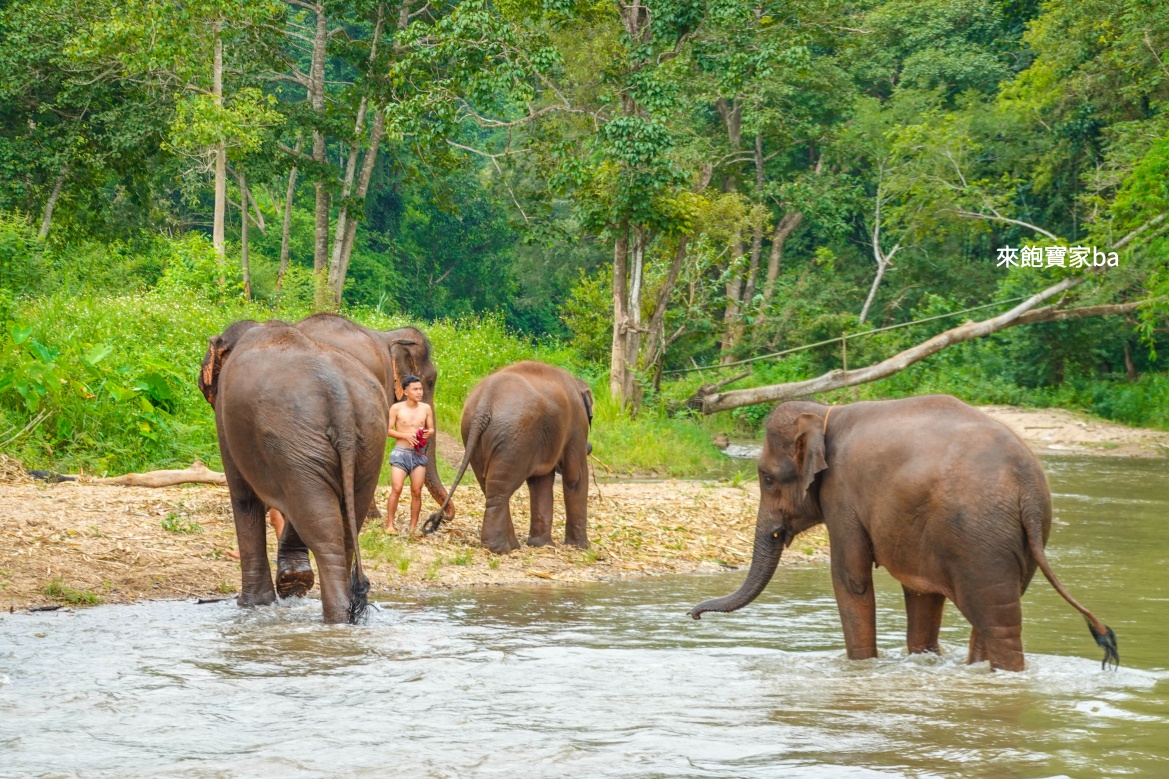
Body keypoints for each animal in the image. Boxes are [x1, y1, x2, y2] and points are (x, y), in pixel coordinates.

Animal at [198, 319, 387, 624]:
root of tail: (341, 397)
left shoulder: (226, 420)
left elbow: (244, 497)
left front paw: (252, 605)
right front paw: (292, 583)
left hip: (298, 441)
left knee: (322, 530)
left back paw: (336, 618)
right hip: (365, 443)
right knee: (344, 525)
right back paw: (345, 617)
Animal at [424, 361, 593, 554]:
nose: (590, 447)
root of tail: (484, 405)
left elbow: (540, 482)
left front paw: (542, 545)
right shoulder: (577, 425)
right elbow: (575, 476)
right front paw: (580, 547)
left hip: (478, 435)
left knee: (490, 486)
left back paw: (510, 546)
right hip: (515, 437)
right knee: (500, 489)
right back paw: (500, 549)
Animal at [689, 396, 1119, 672]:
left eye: (765, 478)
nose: (693, 615)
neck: (825, 412)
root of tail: (1028, 487)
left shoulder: (842, 494)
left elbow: (851, 580)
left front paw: (862, 668)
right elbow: (921, 594)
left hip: (980, 541)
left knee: (996, 623)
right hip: (1024, 541)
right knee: (990, 616)